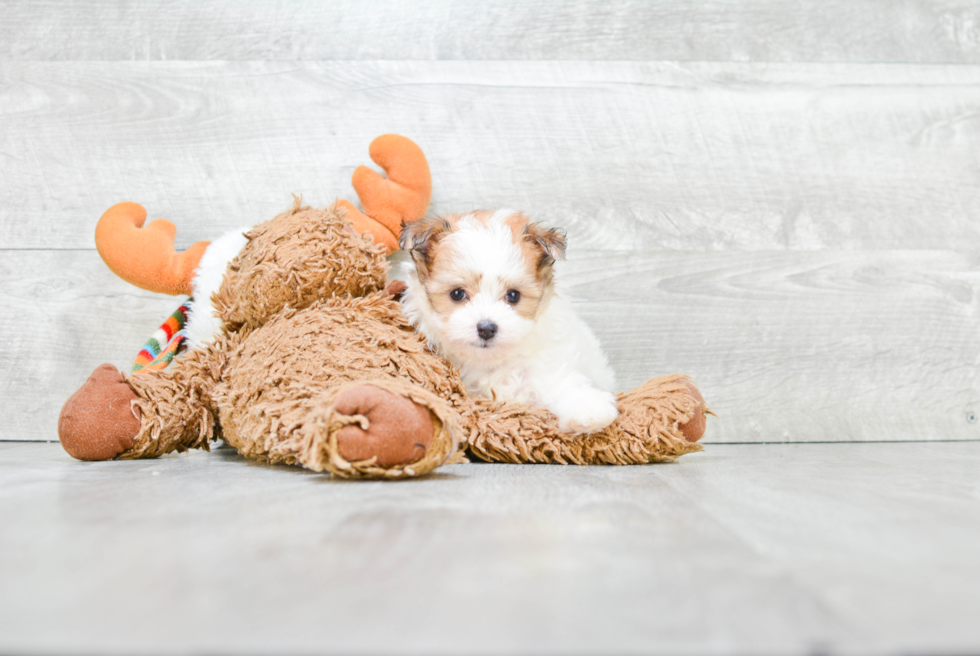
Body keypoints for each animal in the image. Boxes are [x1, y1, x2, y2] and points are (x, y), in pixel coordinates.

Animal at [400, 210, 620, 436]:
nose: (486, 328)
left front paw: (588, 411)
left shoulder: (549, 367)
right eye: (457, 294)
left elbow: (563, 384)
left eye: (513, 295)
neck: (493, 362)